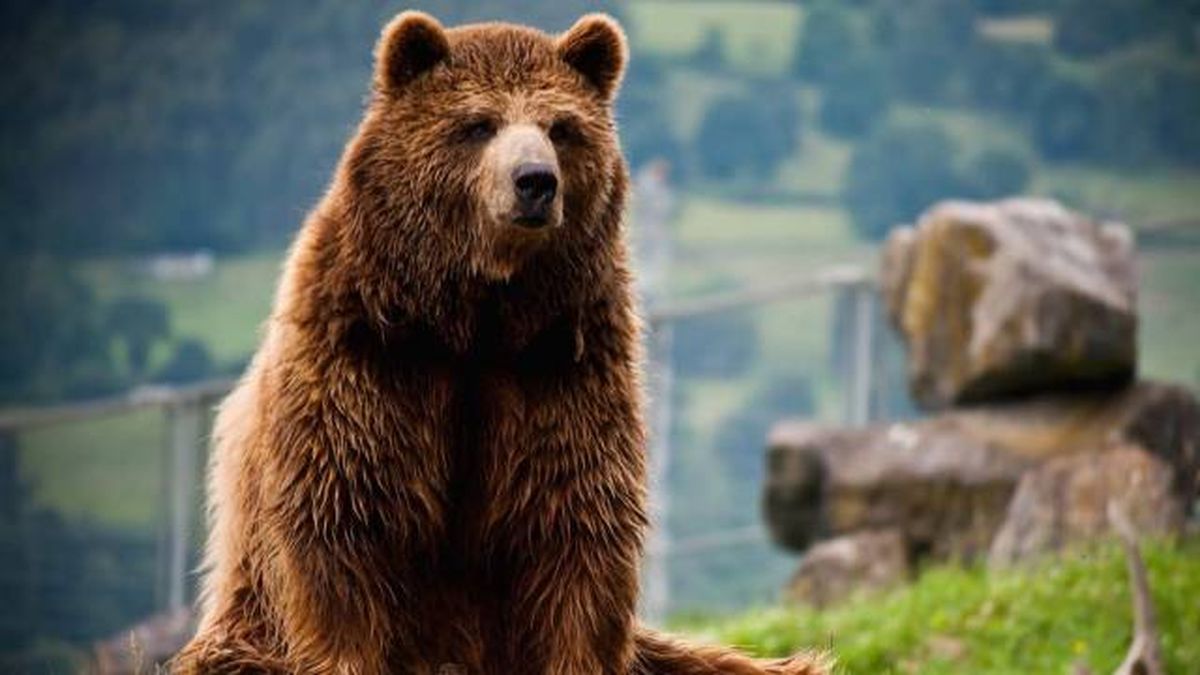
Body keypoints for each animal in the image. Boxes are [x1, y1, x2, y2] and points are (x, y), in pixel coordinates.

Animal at [173, 11, 828, 675]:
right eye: (478, 123)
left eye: (561, 127)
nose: (535, 181)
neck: (475, 314)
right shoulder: (369, 356)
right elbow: (346, 524)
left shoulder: (560, 363)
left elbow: (574, 533)